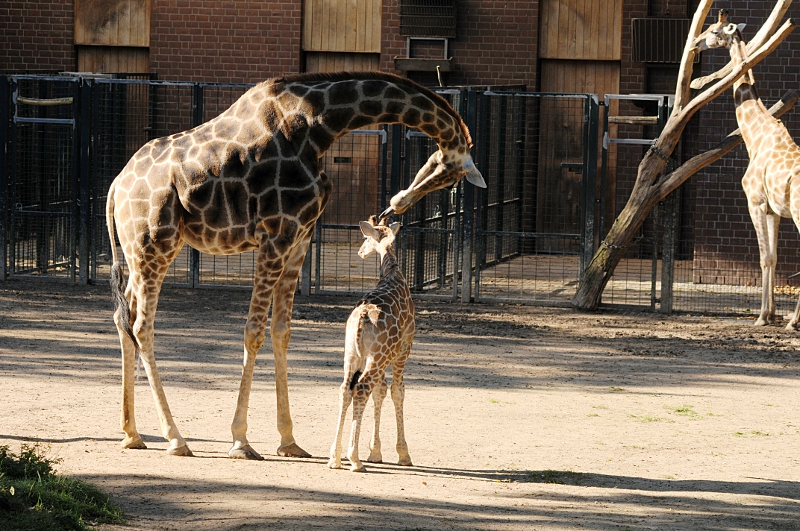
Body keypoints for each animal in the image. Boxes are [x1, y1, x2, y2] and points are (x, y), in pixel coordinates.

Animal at [328, 216, 414, 472]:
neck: (392, 272)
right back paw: (354, 459)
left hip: (352, 355)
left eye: (366, 238)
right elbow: (397, 391)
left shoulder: (377, 355)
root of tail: (362, 317)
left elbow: (381, 390)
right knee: (363, 388)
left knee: (346, 389)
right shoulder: (403, 348)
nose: (359, 251)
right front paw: (402, 454)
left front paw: (375, 451)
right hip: (378, 356)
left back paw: (335, 458)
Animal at [694, 11, 800, 330]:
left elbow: (764, 257)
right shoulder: (774, 210)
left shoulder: (755, 201)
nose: (694, 44)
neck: (755, 134)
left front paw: (762, 317)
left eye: (713, 30)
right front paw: (771, 313)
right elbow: (774, 258)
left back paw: (793, 322)